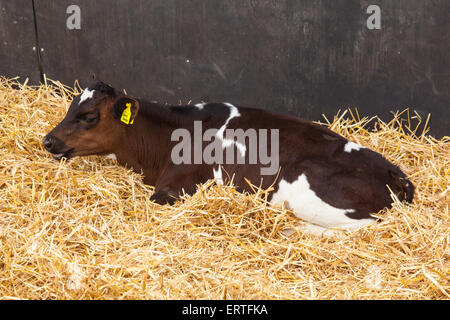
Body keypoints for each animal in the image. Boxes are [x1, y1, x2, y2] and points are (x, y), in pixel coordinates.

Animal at [44, 82, 414, 232]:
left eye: (88, 116)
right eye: (69, 106)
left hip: (306, 193)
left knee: (365, 227)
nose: (48, 141)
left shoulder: (176, 187)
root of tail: (396, 174)